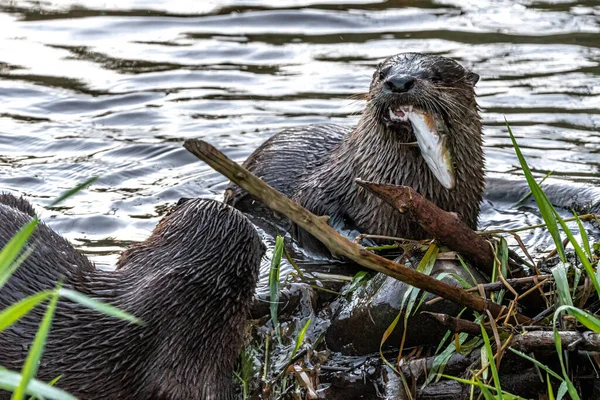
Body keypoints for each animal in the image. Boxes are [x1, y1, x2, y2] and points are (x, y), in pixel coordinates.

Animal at [225, 51, 482, 248]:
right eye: (382, 74)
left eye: (436, 76)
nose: (399, 82)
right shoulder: (328, 181)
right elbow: (309, 206)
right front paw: (363, 241)